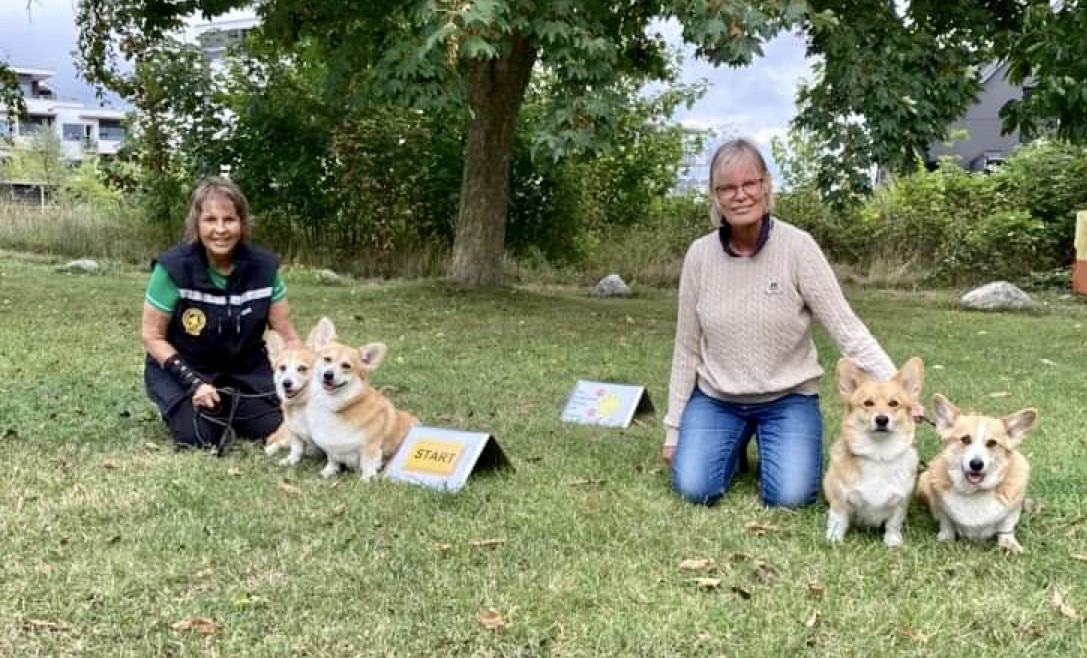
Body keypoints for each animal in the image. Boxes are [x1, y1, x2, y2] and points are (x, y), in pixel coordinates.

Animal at [265, 326, 319, 465]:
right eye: (282, 367)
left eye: (302, 368)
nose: (286, 383)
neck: (302, 404)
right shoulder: (294, 433)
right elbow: (296, 448)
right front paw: (291, 460)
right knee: (281, 442)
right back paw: (271, 450)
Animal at [310, 317, 419, 476]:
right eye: (327, 359)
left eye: (346, 366)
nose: (328, 375)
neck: (337, 404)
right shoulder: (331, 449)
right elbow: (332, 460)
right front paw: (327, 472)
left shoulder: (370, 448)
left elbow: (368, 465)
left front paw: (366, 479)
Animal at [826, 356, 921, 545]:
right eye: (868, 403)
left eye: (894, 403)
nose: (882, 419)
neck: (879, 455)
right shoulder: (840, 500)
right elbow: (839, 519)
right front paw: (834, 538)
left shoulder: (901, 502)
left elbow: (893, 523)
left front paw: (893, 541)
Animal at [917, 391, 1034, 552]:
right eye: (965, 439)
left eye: (992, 443)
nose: (976, 464)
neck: (973, 491)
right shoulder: (941, 509)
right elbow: (946, 523)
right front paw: (946, 537)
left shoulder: (1011, 511)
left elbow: (1006, 527)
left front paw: (1009, 543)